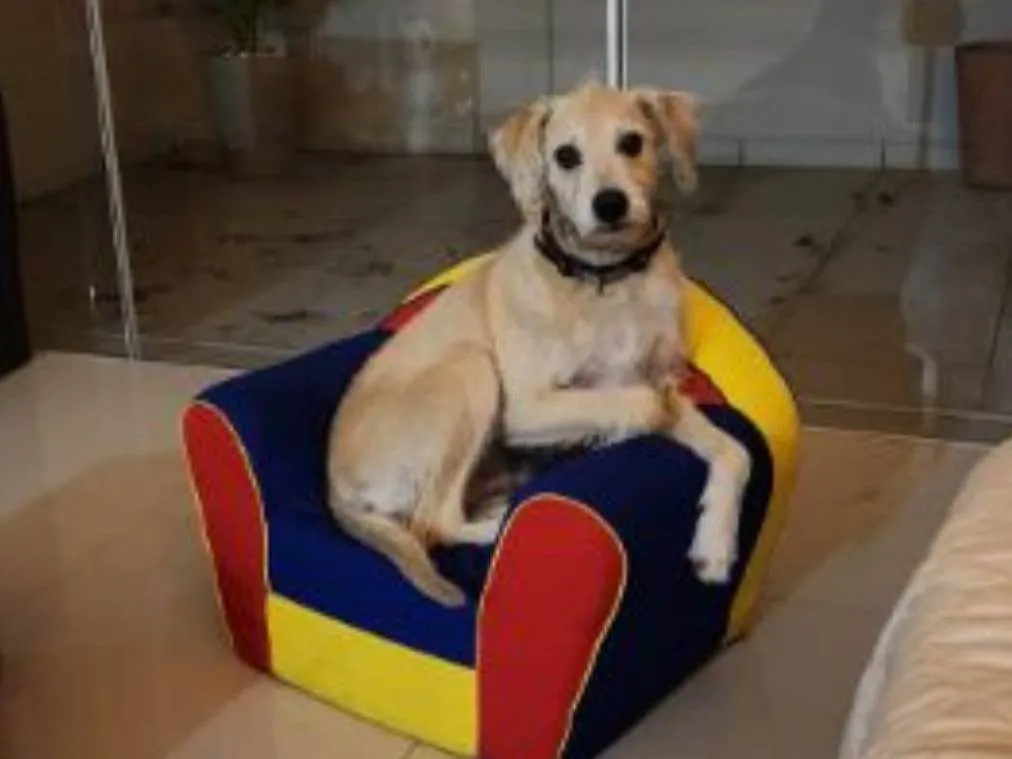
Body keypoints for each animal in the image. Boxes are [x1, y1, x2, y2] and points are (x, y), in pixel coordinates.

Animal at [327, 80, 752, 607]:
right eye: (566, 155)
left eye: (632, 142)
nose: (610, 204)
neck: (605, 281)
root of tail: (334, 487)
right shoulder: (527, 409)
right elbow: (638, 401)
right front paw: (612, 433)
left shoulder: (665, 381)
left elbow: (735, 451)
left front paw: (715, 546)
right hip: (470, 370)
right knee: (433, 522)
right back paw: (502, 525)